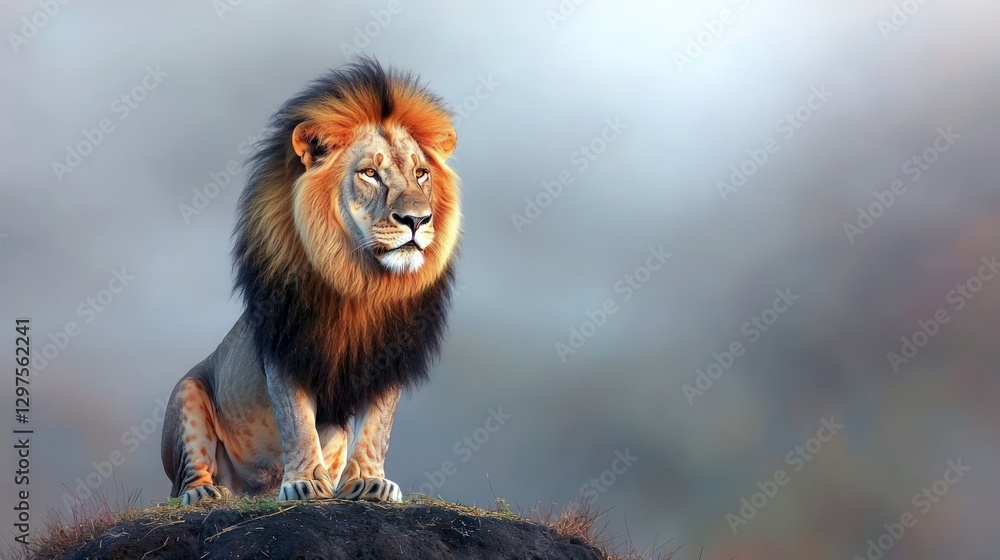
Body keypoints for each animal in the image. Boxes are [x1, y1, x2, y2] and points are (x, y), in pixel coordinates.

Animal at [161, 58, 460, 504]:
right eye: (370, 173)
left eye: (421, 173)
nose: (417, 220)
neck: (363, 283)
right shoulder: (284, 346)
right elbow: (296, 420)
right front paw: (303, 482)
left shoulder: (390, 357)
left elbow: (378, 428)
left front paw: (369, 480)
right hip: (187, 394)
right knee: (187, 476)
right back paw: (208, 493)